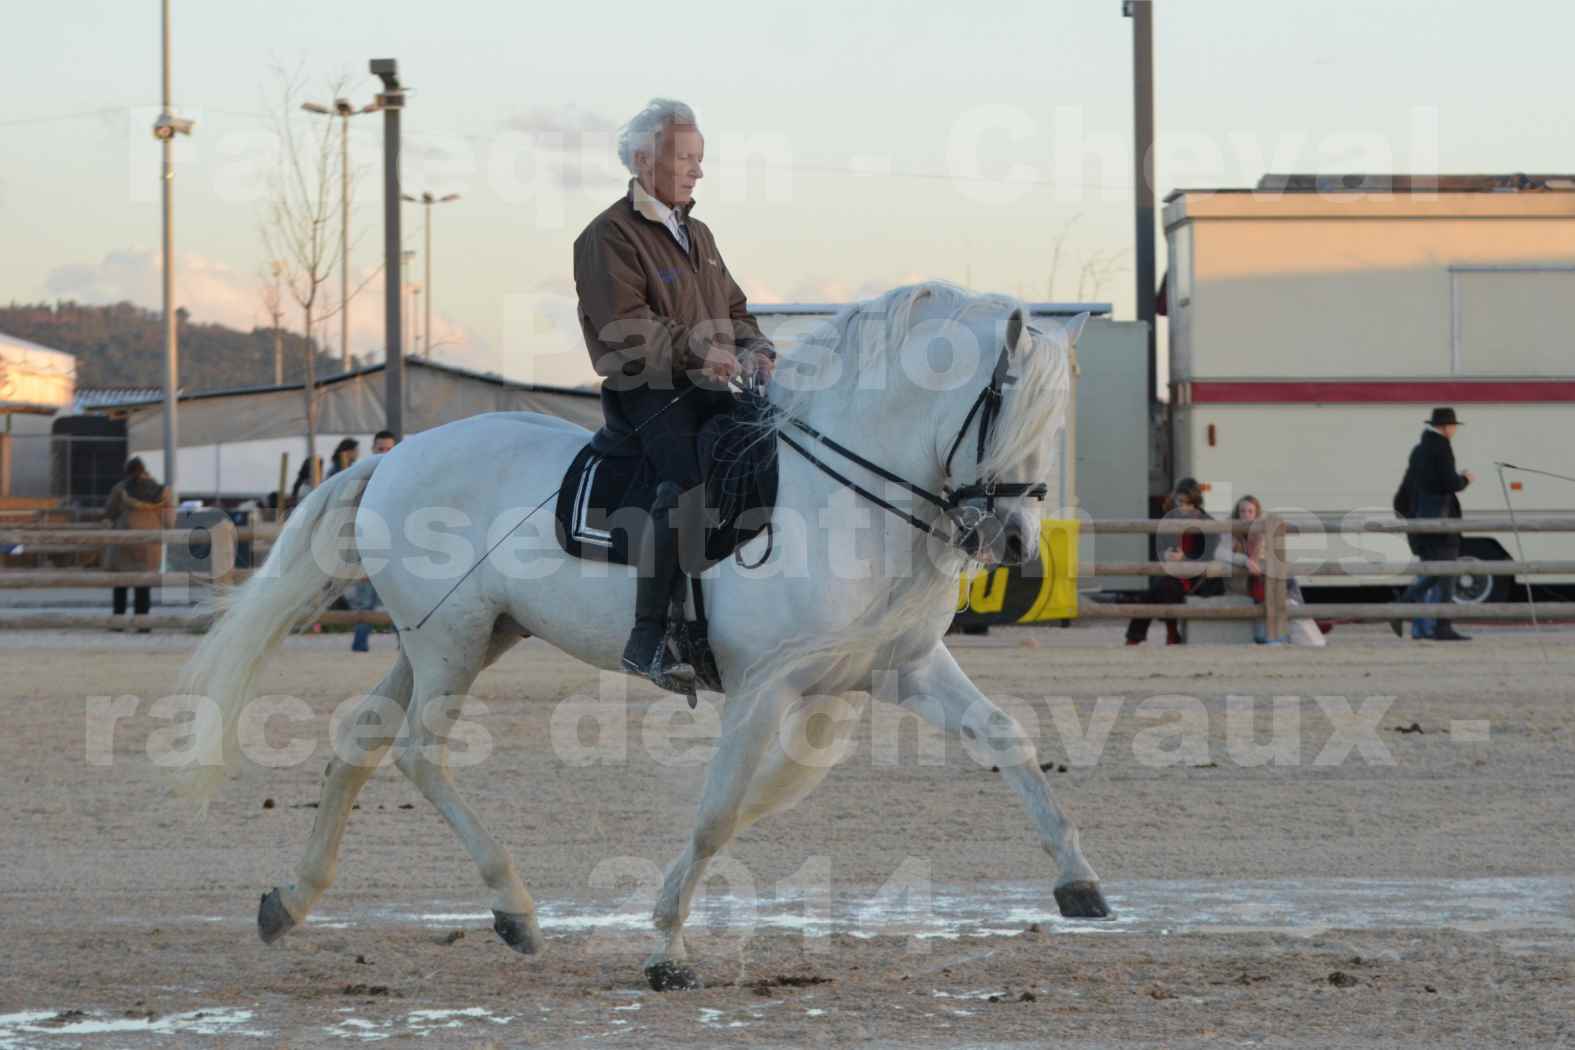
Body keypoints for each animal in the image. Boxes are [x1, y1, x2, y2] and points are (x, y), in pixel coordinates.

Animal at [175, 283, 1108, 988]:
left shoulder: (904, 667)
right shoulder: (766, 687)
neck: (848, 501)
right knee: (416, 752)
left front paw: (1079, 882)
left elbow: (1008, 740)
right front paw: (665, 949)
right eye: (1003, 409)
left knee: (361, 740)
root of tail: (396, 456)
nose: (1014, 545)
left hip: (459, 637)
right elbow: (718, 813)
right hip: (452, 644)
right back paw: (513, 909)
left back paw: (291, 900)